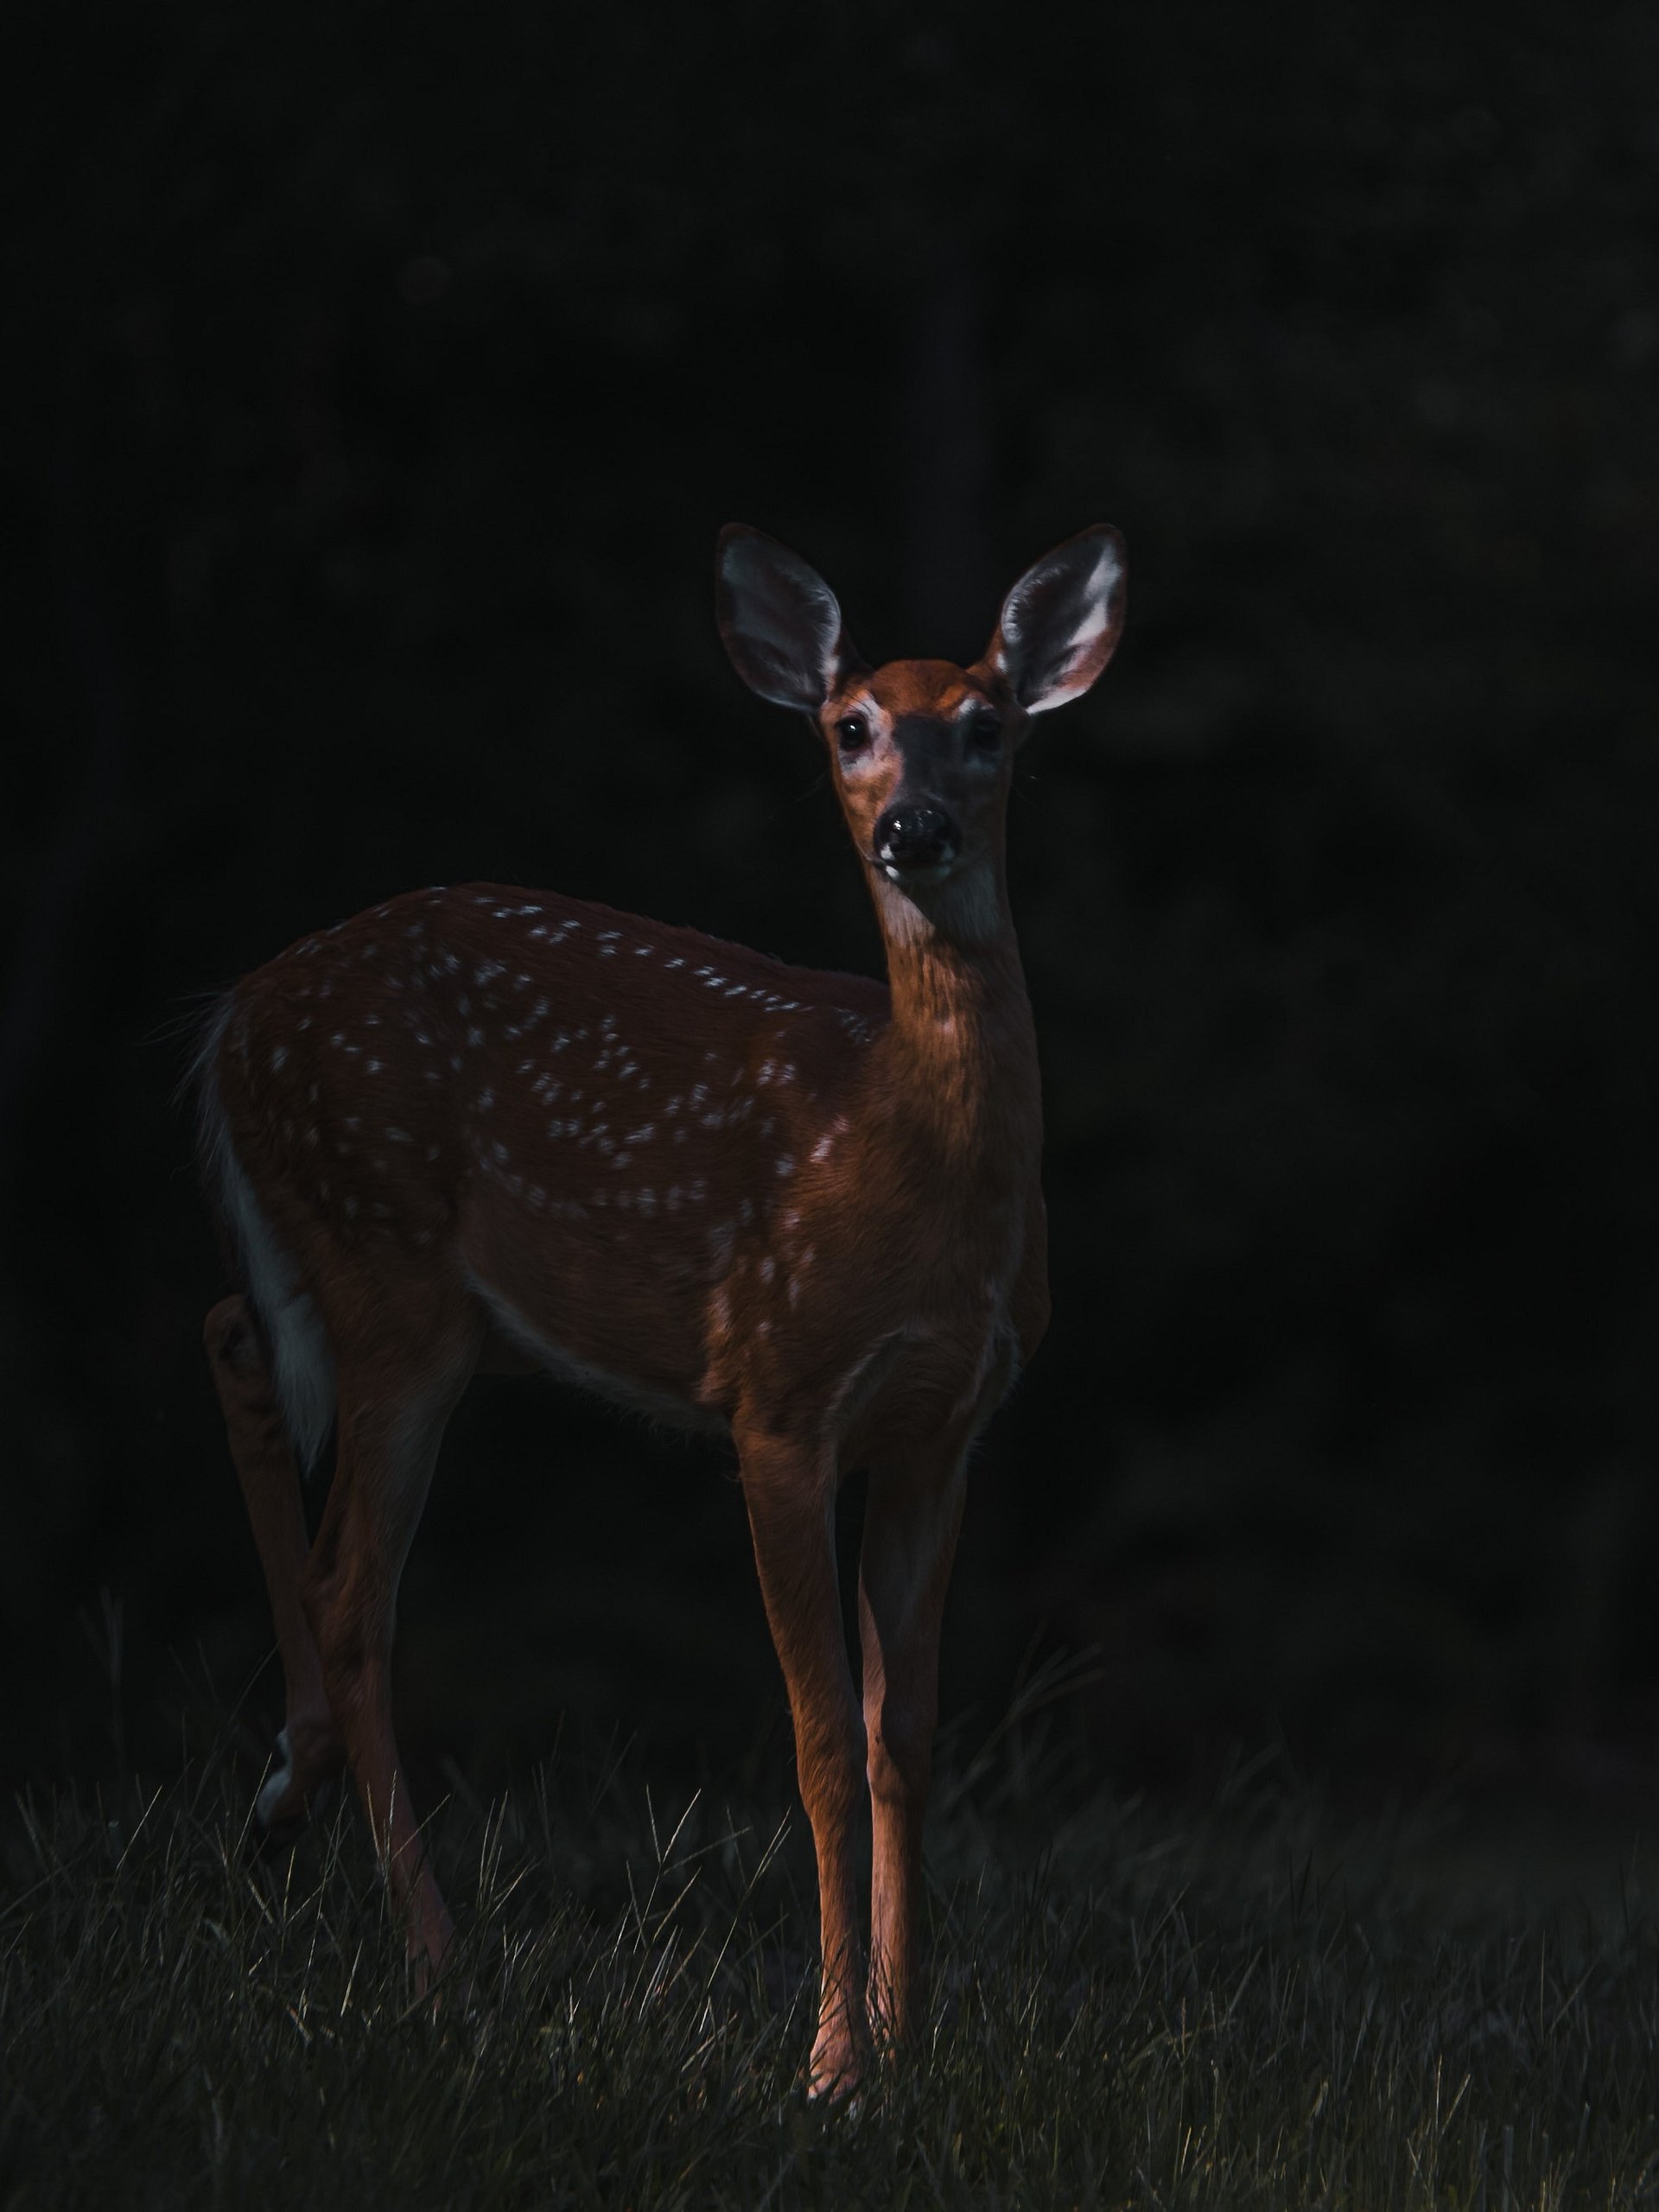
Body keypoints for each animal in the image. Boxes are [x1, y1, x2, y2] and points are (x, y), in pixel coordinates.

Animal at [195, 519, 1126, 2096]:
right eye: (851, 726)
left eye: (988, 725)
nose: (912, 831)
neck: (905, 1161)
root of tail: (227, 1022)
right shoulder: (779, 1387)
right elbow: (819, 1745)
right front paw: (835, 2064)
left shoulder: (944, 1428)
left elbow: (906, 1736)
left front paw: (910, 2032)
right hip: (391, 1278)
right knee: (351, 1591)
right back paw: (436, 1958)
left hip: (385, 1285)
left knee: (233, 1343)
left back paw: (281, 1797)